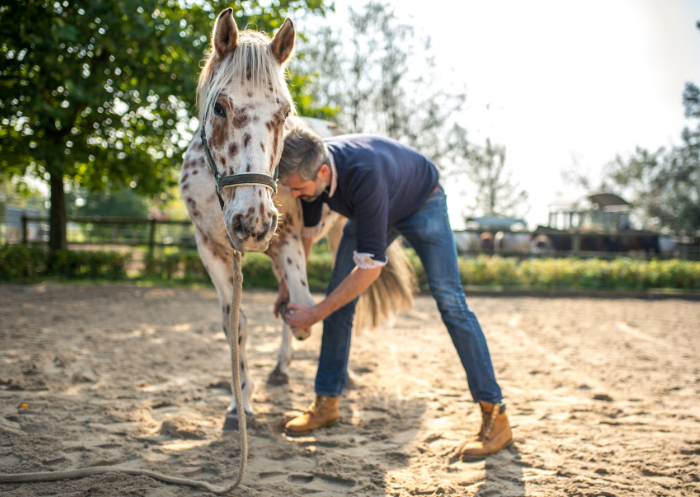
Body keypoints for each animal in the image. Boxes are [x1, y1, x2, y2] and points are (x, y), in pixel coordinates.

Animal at [180, 10, 415, 427]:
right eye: (219, 107)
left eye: (284, 113)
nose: (252, 223)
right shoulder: (209, 248)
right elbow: (234, 324)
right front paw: (240, 404)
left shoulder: (287, 240)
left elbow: (304, 307)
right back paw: (279, 369)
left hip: (336, 240)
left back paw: (339, 375)